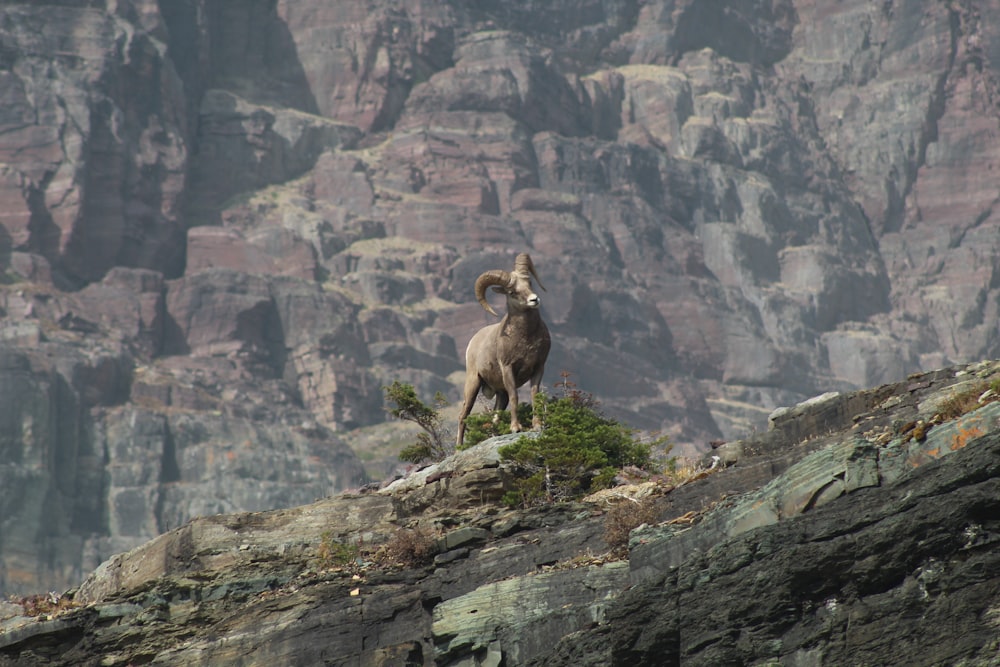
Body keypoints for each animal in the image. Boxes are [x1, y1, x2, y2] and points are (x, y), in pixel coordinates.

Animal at [458, 256, 552, 448]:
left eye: (529, 282)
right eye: (512, 292)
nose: (534, 300)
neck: (525, 338)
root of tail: (473, 342)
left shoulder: (539, 368)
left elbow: (534, 395)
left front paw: (537, 425)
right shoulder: (508, 368)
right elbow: (515, 395)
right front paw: (516, 428)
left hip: (500, 395)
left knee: (495, 416)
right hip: (473, 384)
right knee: (463, 415)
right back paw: (458, 449)